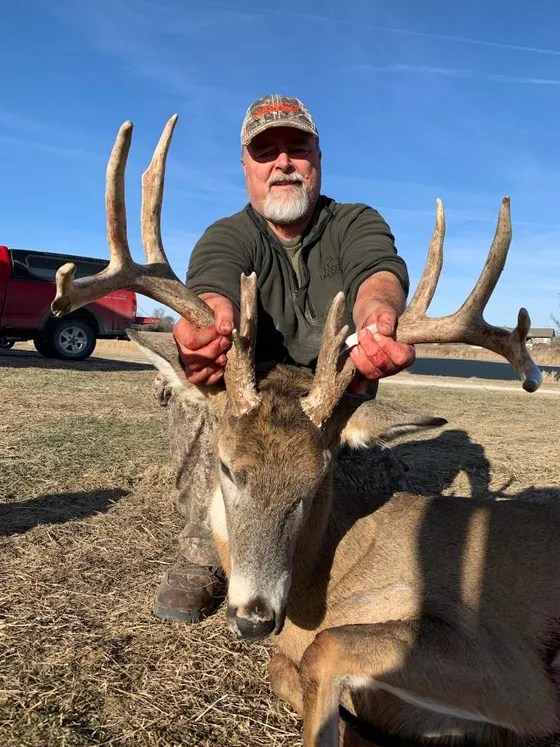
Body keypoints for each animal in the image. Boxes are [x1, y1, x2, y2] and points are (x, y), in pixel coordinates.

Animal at [51, 116, 560, 747]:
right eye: (225, 467)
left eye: (319, 479)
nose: (254, 617)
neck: (334, 577)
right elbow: (287, 668)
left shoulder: (512, 669)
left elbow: (323, 651)